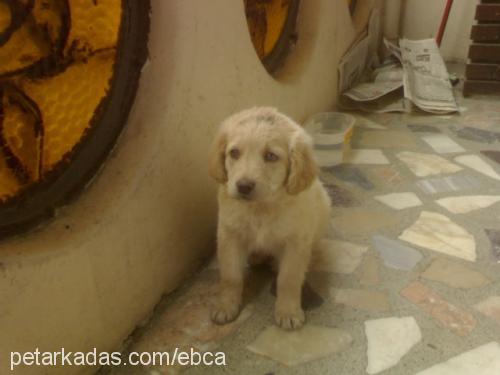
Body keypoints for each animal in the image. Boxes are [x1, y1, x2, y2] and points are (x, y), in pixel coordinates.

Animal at [208, 107, 330, 330]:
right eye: (234, 153)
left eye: (271, 156)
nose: (243, 186)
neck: (260, 208)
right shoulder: (229, 236)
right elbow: (231, 277)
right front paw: (225, 307)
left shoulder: (296, 243)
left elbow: (288, 279)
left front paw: (288, 311)